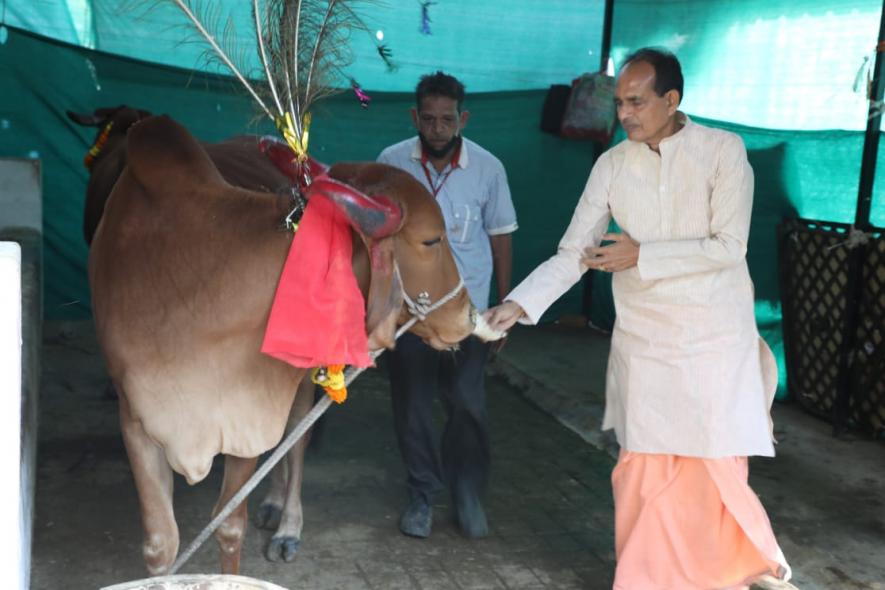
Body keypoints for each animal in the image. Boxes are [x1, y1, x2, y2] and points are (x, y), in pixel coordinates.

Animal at [69, 108, 498, 576]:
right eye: (431, 239)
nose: (468, 314)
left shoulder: (247, 413)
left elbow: (230, 524)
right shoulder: (138, 417)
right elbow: (161, 545)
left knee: (296, 439)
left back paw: (286, 522)